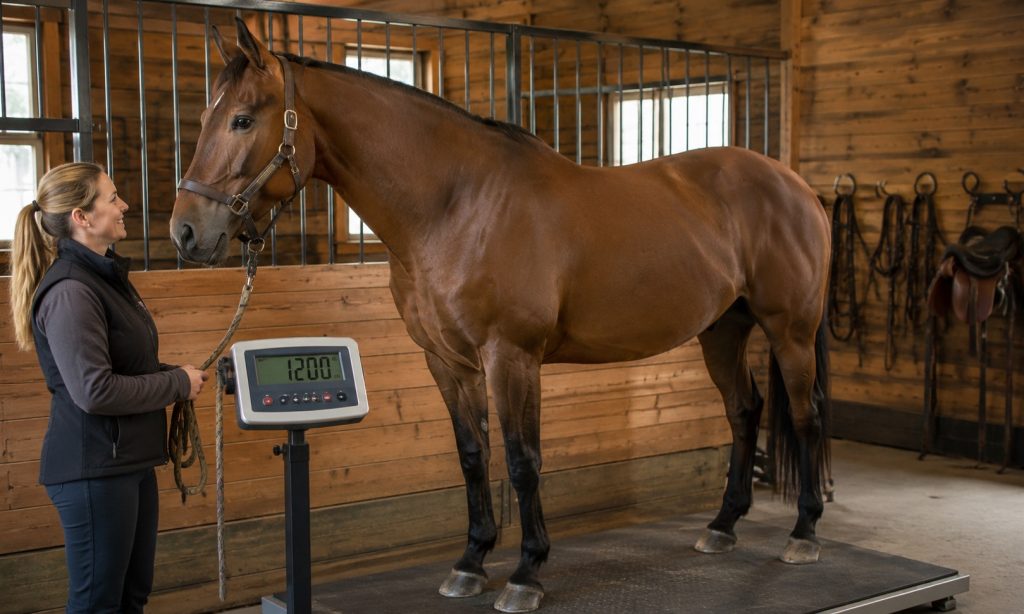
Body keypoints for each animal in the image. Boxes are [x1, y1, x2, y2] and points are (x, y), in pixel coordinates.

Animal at [170, 19, 832, 613]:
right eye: (204, 118)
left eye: (242, 119)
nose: (186, 231)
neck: (458, 205)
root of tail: (796, 186)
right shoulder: (446, 362)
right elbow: (472, 456)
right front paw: (470, 563)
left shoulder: (510, 357)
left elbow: (521, 459)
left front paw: (526, 573)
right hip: (723, 329)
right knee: (744, 411)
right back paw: (722, 526)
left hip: (790, 332)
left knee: (805, 417)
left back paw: (803, 534)